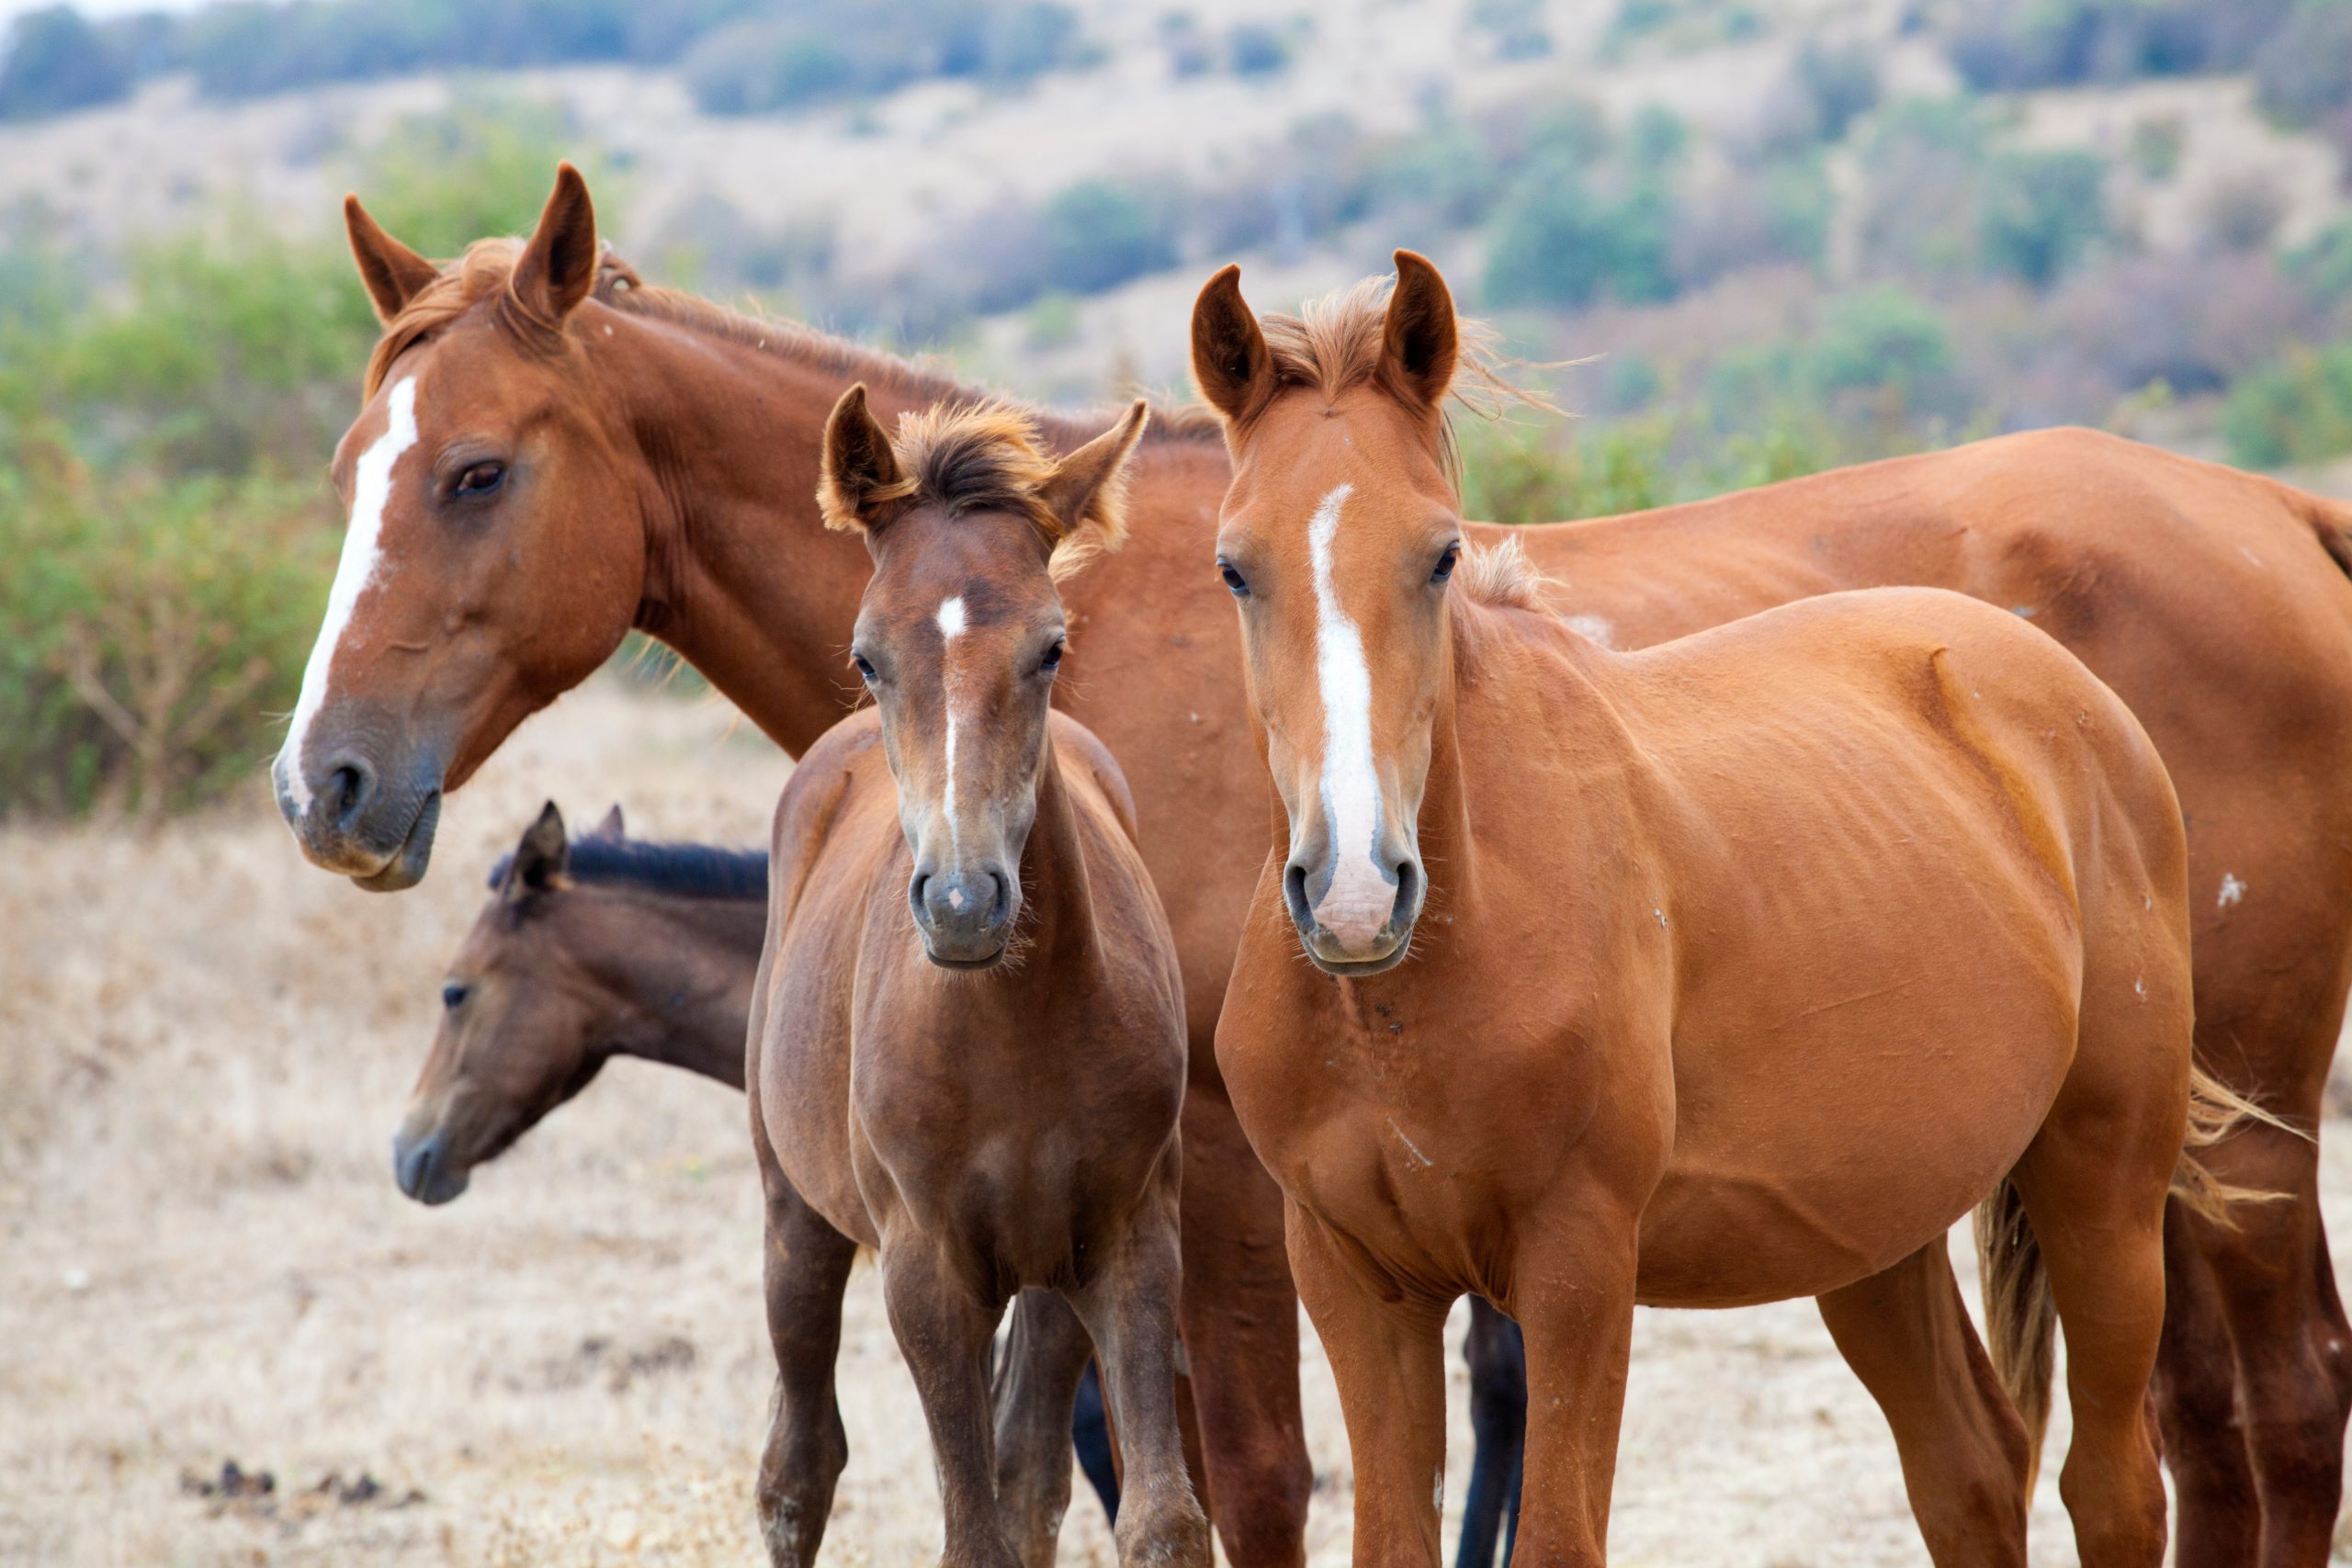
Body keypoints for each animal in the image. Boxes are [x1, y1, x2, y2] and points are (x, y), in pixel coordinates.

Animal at [742, 390, 1207, 1568]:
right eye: (867, 656)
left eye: (1051, 648)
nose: (962, 904)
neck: (1010, 1027)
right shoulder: (927, 1273)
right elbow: (969, 1534)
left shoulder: (1130, 1239)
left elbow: (1156, 1519)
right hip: (795, 1220)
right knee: (796, 1470)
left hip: (1047, 1279)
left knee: (1028, 1472)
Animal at [1193, 250, 2262, 1567]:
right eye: (1235, 567)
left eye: (1440, 554)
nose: (1351, 892)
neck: (1408, 998)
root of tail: (2070, 695)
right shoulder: (1355, 1281)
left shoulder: (1577, 1271)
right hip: (1870, 1230)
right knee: (1970, 1471)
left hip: (2103, 1186)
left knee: (2111, 1489)